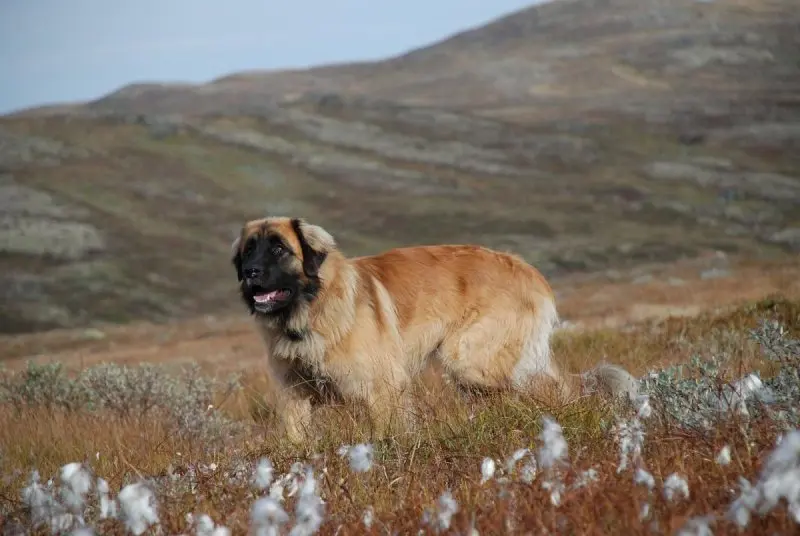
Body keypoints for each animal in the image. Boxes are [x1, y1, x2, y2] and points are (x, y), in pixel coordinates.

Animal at [231, 216, 636, 442]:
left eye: (279, 249)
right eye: (249, 250)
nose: (250, 273)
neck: (310, 311)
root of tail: (524, 267)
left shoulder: (382, 388)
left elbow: (386, 435)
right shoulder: (294, 395)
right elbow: (297, 440)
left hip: (471, 359)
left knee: (546, 388)